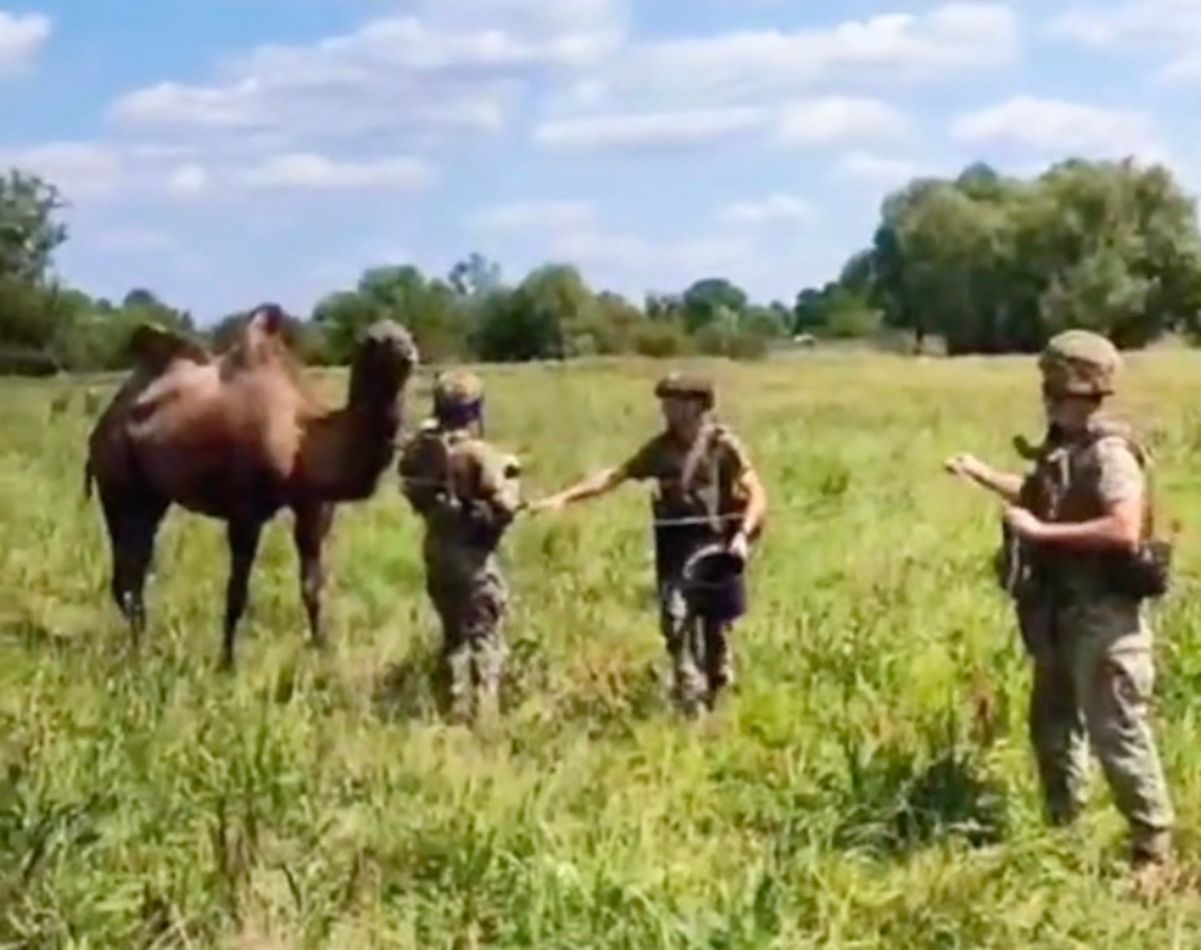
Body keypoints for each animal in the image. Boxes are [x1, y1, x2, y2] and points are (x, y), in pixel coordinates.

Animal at [84, 305, 417, 667]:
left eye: (407, 333)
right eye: (375, 341)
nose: (409, 353)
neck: (303, 437)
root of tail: (104, 423)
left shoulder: (314, 506)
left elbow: (313, 587)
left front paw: (322, 652)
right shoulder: (246, 510)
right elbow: (237, 592)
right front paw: (227, 662)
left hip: (151, 499)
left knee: (134, 569)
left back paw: (145, 647)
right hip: (119, 485)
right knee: (127, 573)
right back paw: (141, 653)